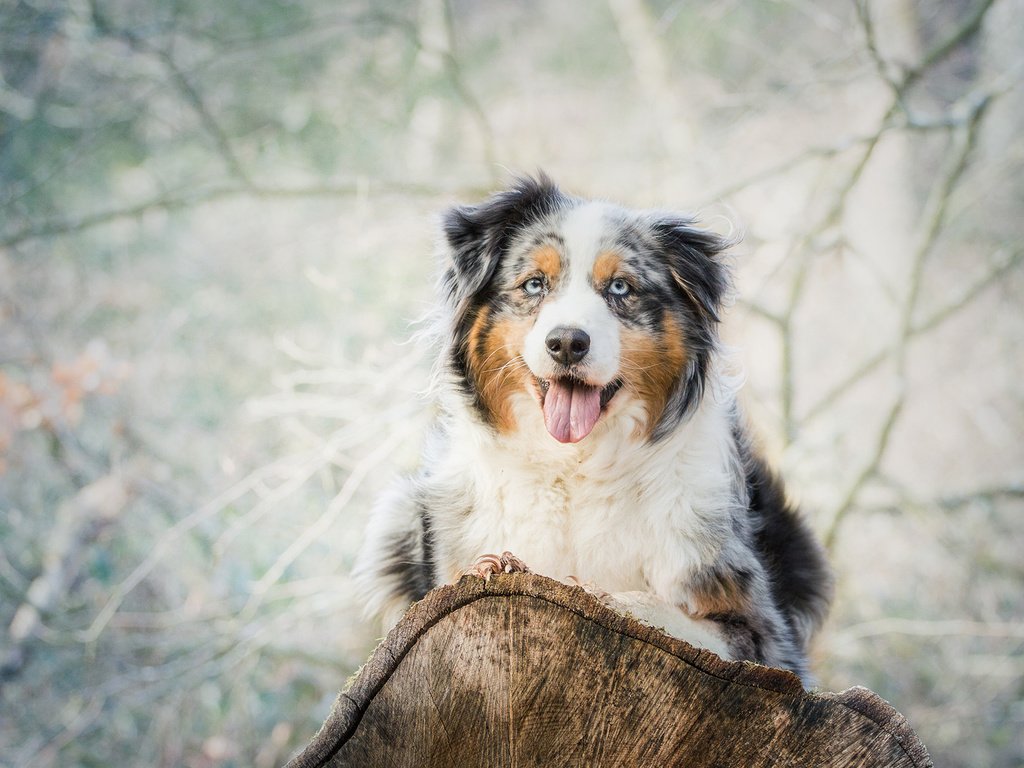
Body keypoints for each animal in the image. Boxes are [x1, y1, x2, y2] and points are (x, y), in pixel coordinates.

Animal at [352, 174, 831, 684]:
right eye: (534, 283)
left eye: (620, 287)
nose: (566, 342)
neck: (575, 467)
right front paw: (495, 565)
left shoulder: (766, 636)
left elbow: (669, 614)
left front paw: (608, 596)